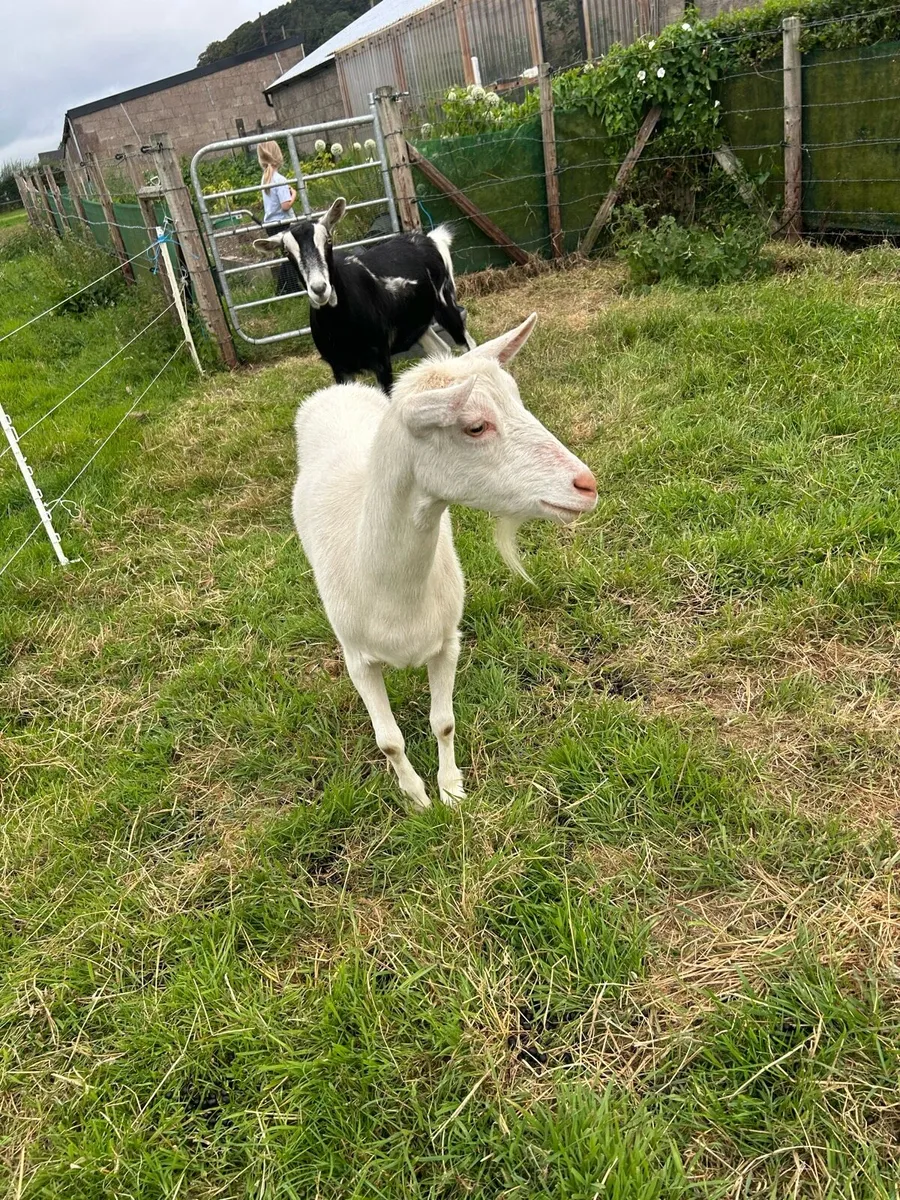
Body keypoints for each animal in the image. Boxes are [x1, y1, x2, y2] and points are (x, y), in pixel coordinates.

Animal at [254, 198, 474, 394]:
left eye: (328, 240)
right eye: (286, 251)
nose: (319, 289)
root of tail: (429, 239)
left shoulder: (381, 360)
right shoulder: (339, 367)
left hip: (446, 301)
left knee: (468, 345)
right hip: (417, 322)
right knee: (441, 350)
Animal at [291, 313, 598, 808]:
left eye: (517, 398)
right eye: (474, 427)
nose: (586, 485)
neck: (390, 588)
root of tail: (337, 391)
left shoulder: (448, 639)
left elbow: (445, 721)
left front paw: (451, 790)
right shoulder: (357, 658)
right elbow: (389, 741)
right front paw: (416, 798)